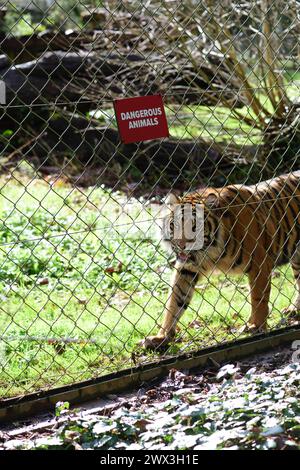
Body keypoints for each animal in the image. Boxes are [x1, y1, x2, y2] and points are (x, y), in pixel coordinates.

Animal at [142, 172, 300, 348]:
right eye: (174, 225)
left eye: (194, 226)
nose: (181, 245)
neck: (210, 250)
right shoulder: (187, 269)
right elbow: (175, 300)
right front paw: (161, 337)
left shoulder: (259, 264)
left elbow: (258, 298)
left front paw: (256, 326)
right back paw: (293, 309)